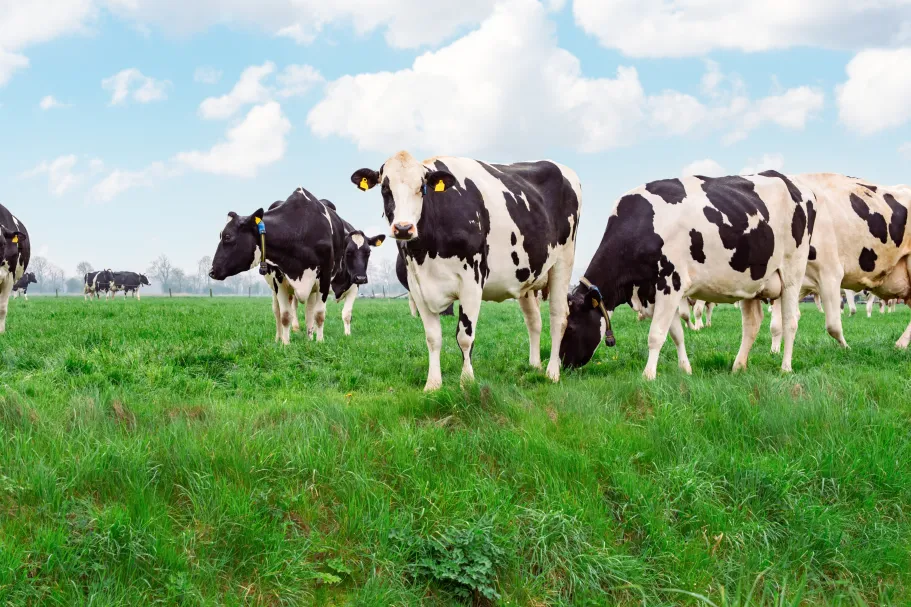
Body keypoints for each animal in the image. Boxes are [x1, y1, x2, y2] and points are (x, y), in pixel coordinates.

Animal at [209, 187, 383, 343]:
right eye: (348, 252)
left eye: (227, 237)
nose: (211, 271)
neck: (300, 231)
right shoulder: (279, 278)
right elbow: (285, 315)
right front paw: (285, 344)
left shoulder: (327, 277)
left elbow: (321, 314)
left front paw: (320, 341)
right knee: (278, 311)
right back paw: (279, 337)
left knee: (309, 311)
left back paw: (310, 336)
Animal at [351, 151, 582, 391]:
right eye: (385, 189)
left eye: (421, 187)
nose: (404, 228)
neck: (426, 252)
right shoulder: (417, 286)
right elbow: (432, 337)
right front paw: (433, 384)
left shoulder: (472, 281)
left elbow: (464, 336)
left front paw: (467, 381)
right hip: (526, 277)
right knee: (534, 320)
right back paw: (534, 366)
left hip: (563, 263)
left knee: (558, 317)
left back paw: (552, 372)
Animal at [560, 172, 814, 379]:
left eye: (569, 327)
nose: (563, 363)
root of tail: (791, 182)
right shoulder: (657, 292)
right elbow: (676, 334)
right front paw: (685, 369)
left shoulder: (670, 283)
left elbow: (656, 334)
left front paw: (648, 375)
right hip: (752, 283)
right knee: (751, 325)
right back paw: (738, 367)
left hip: (792, 273)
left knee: (790, 322)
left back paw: (785, 368)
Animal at [769, 174, 911, 350]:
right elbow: (776, 324)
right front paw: (774, 351)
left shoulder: (830, 273)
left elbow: (833, 325)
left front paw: (846, 348)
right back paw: (901, 343)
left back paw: (900, 343)